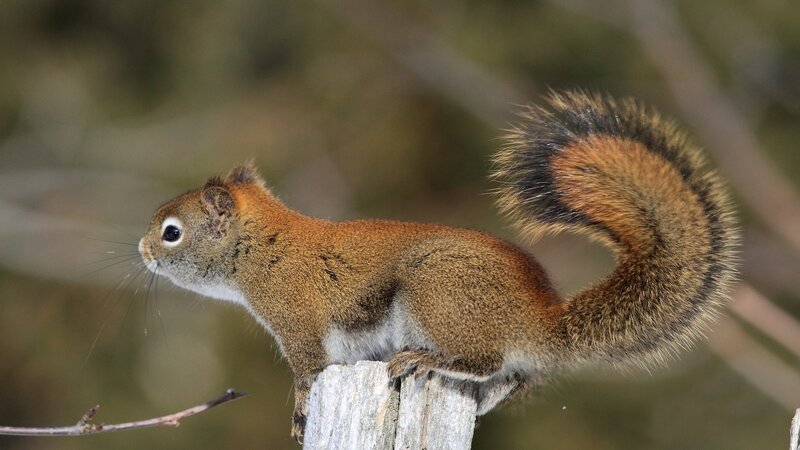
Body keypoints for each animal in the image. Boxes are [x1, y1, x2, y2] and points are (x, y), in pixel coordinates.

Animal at [138, 90, 738, 443]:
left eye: (172, 232)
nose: (142, 250)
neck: (265, 247)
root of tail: (538, 322)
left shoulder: (298, 321)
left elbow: (309, 374)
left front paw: (302, 412)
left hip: (435, 293)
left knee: (482, 359)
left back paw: (427, 360)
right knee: (502, 379)